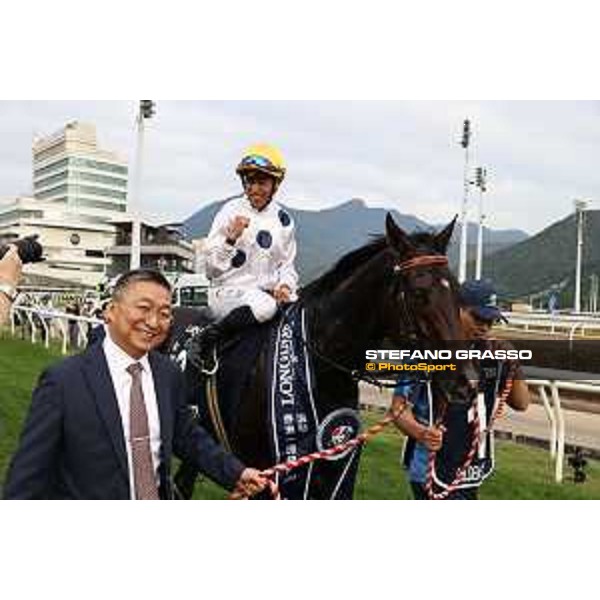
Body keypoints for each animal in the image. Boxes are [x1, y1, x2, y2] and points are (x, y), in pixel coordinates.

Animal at [166, 213, 466, 500]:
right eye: (418, 292)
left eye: (455, 290)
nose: (465, 379)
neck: (319, 367)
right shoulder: (268, 476)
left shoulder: (338, 468)